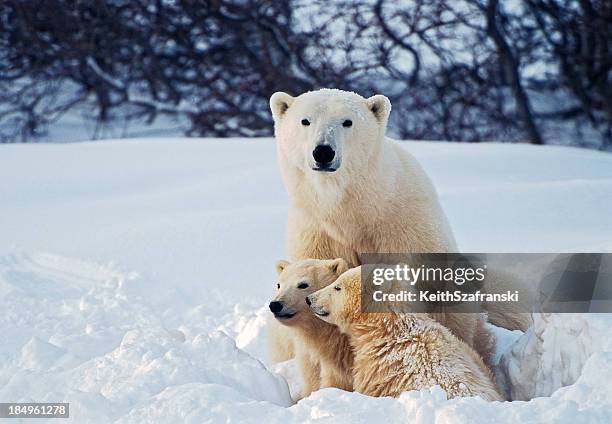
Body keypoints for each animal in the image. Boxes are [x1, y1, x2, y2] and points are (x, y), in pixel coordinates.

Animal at [270, 88, 528, 362]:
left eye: (347, 121)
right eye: (305, 121)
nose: (323, 152)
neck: (353, 209)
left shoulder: (402, 226)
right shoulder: (318, 233)